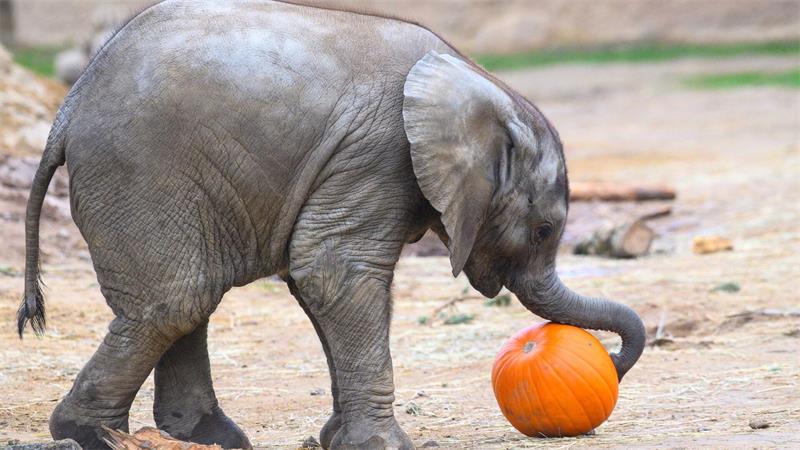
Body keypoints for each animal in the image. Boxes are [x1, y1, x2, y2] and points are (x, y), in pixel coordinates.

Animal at [17, 1, 646, 449]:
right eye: (543, 231)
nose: (610, 364)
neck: (474, 80)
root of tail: (68, 106)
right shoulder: (379, 151)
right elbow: (333, 272)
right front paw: (388, 447)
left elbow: (322, 281)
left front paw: (339, 440)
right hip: (140, 171)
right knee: (176, 300)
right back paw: (88, 436)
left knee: (188, 298)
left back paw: (204, 439)